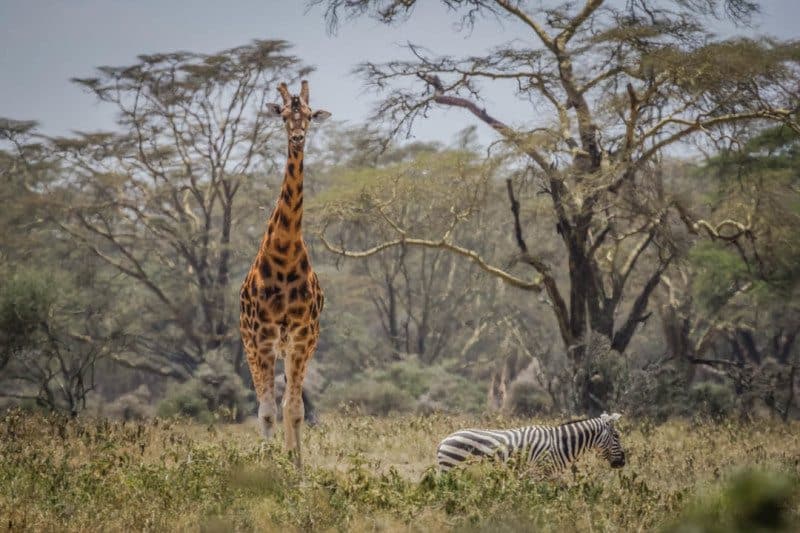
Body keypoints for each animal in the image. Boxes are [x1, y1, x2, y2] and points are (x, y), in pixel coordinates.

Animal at [436, 412, 626, 473]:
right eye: (616, 436)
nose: (622, 463)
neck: (560, 443)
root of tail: (443, 441)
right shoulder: (539, 472)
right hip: (451, 468)